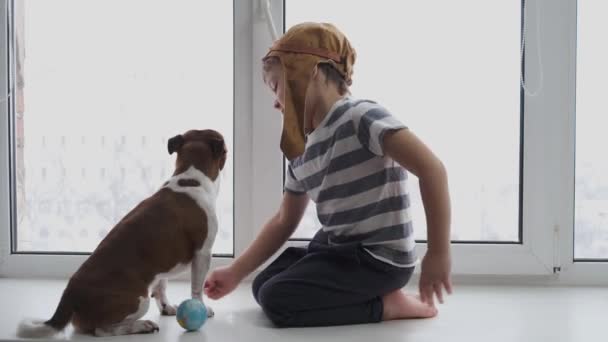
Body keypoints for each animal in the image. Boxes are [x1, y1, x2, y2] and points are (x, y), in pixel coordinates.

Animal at [19, 130, 228, 338]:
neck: (191, 179)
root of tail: (70, 294)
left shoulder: (162, 264)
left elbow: (161, 285)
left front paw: (167, 307)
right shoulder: (202, 253)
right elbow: (197, 289)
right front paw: (203, 309)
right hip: (139, 300)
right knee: (103, 330)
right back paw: (141, 325)